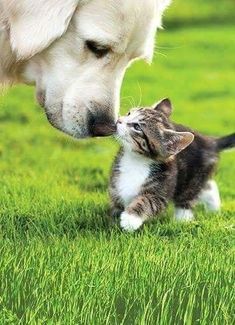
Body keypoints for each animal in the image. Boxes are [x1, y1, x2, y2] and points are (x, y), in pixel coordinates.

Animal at [109, 98, 234, 230]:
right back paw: (214, 209)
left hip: (193, 177)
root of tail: (210, 142)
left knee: (188, 196)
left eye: (137, 126)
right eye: (129, 113)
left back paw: (182, 220)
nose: (118, 120)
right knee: (208, 186)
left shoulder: (163, 187)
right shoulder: (116, 182)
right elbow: (116, 199)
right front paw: (113, 222)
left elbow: (149, 201)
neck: (135, 160)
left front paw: (130, 219)